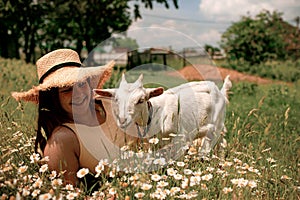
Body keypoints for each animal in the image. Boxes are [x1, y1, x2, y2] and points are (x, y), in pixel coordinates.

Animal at [94, 74, 232, 154]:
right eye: (116, 99)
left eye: (141, 100)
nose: (123, 120)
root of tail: (219, 91)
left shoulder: (181, 137)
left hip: (217, 124)